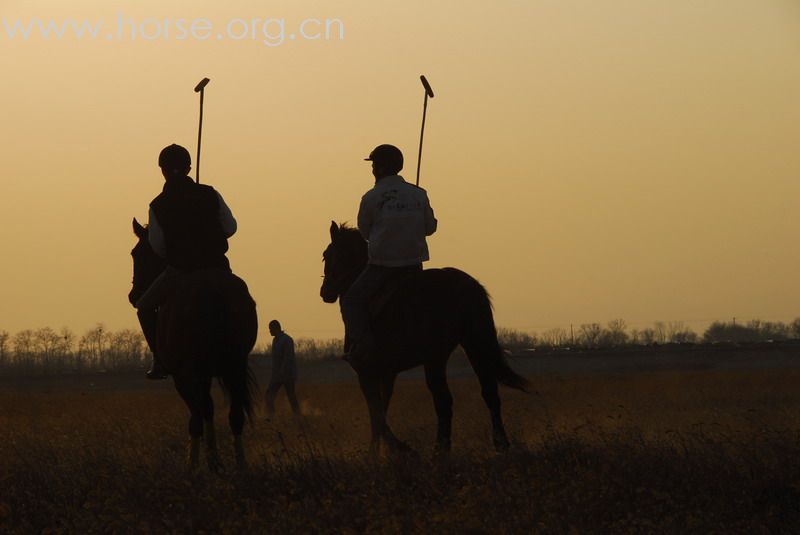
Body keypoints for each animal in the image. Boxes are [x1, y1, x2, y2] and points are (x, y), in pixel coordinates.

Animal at [130, 220, 258, 472]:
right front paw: (213, 458)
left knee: (198, 414)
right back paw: (241, 464)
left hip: (190, 371)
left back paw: (192, 466)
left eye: (137, 253)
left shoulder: (186, 375)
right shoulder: (207, 373)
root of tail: (214, 290)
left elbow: (199, 412)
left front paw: (203, 460)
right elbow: (209, 408)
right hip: (235, 364)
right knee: (235, 415)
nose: (133, 296)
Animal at [322, 222, 528, 456]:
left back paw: (440, 450)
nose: (325, 292)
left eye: (326, 255)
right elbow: (382, 409)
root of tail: (466, 286)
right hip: (473, 345)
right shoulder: (387, 373)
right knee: (488, 393)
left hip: (435, 357)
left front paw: (385, 451)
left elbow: (376, 412)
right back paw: (499, 444)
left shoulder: (365, 371)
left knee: (443, 399)